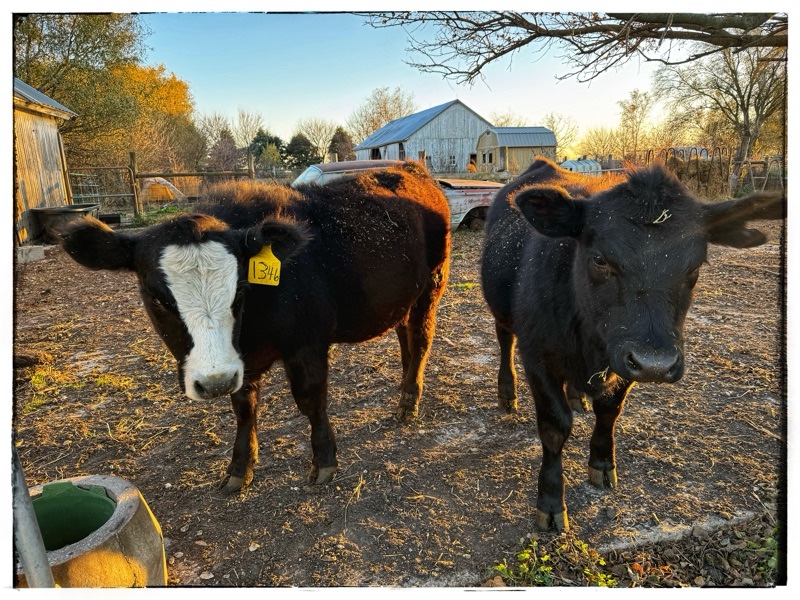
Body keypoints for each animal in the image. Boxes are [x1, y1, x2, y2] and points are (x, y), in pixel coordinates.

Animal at [58, 162, 450, 494]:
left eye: (241, 289)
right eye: (156, 298)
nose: (214, 381)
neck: (254, 331)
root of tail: (411, 168)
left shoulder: (307, 343)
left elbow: (311, 400)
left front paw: (324, 461)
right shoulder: (239, 365)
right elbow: (244, 408)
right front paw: (239, 468)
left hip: (433, 283)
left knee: (421, 337)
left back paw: (409, 401)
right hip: (405, 295)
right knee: (405, 337)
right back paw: (405, 389)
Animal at [481, 157, 784, 532]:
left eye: (695, 267)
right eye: (599, 259)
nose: (656, 363)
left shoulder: (623, 360)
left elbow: (610, 411)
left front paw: (602, 463)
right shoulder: (539, 357)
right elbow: (555, 428)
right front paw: (550, 502)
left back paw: (577, 396)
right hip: (504, 315)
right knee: (504, 341)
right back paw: (507, 393)